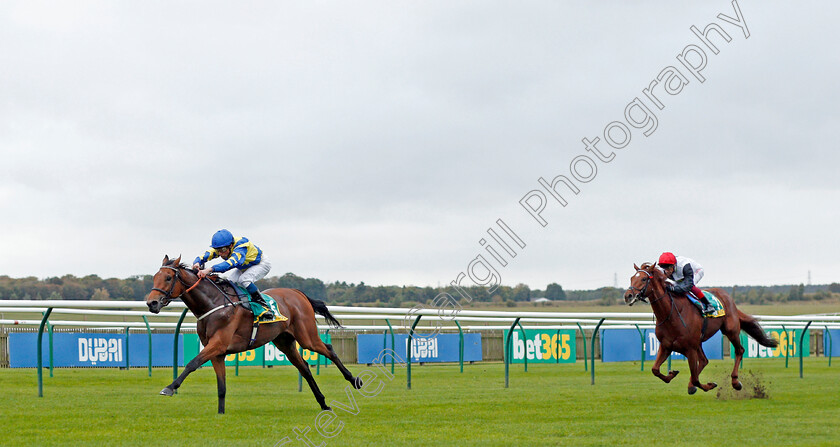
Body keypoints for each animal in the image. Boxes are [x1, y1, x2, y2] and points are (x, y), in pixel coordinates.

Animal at [145, 256, 360, 416]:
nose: (151, 303)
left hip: (306, 336)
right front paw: (221, 414)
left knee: (329, 350)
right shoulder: (217, 352)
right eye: (154, 277)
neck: (213, 303)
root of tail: (298, 293)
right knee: (305, 368)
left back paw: (354, 380)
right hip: (284, 341)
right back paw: (323, 403)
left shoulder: (217, 344)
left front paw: (170, 388)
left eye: (168, 278)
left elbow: (192, 363)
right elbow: (221, 386)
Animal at [620, 262, 776, 396]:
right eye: (632, 278)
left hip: (730, 331)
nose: (628, 296)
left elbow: (695, 378)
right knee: (704, 361)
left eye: (644, 278)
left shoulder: (689, 348)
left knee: (739, 351)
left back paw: (735, 382)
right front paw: (672, 374)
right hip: (698, 342)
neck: (672, 314)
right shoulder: (666, 346)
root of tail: (727, 296)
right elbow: (655, 370)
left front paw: (709, 385)